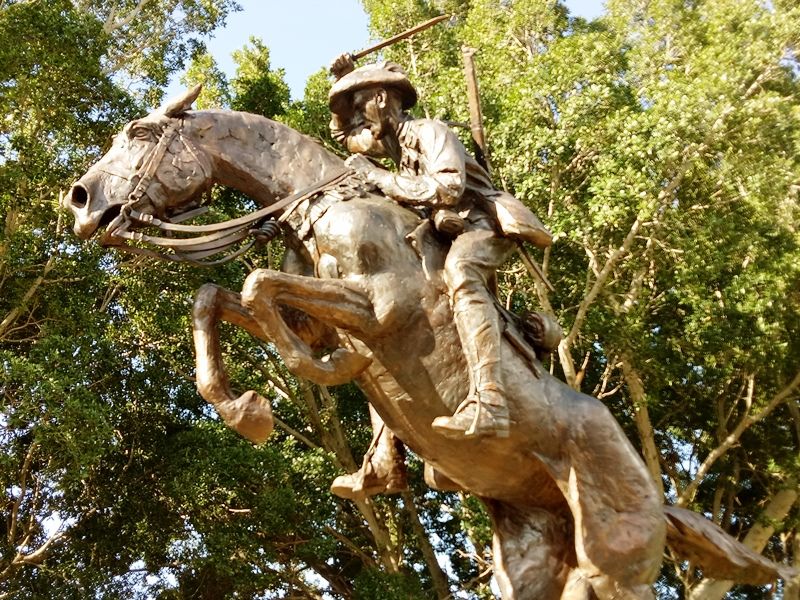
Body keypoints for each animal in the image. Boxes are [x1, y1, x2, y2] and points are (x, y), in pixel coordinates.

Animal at [64, 86, 792, 596]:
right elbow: (218, 297)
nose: (78, 200)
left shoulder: (382, 309)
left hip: (614, 559)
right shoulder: (318, 308)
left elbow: (256, 286)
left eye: (140, 132)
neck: (324, 203)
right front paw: (246, 407)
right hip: (533, 543)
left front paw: (313, 374)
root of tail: (656, 491)